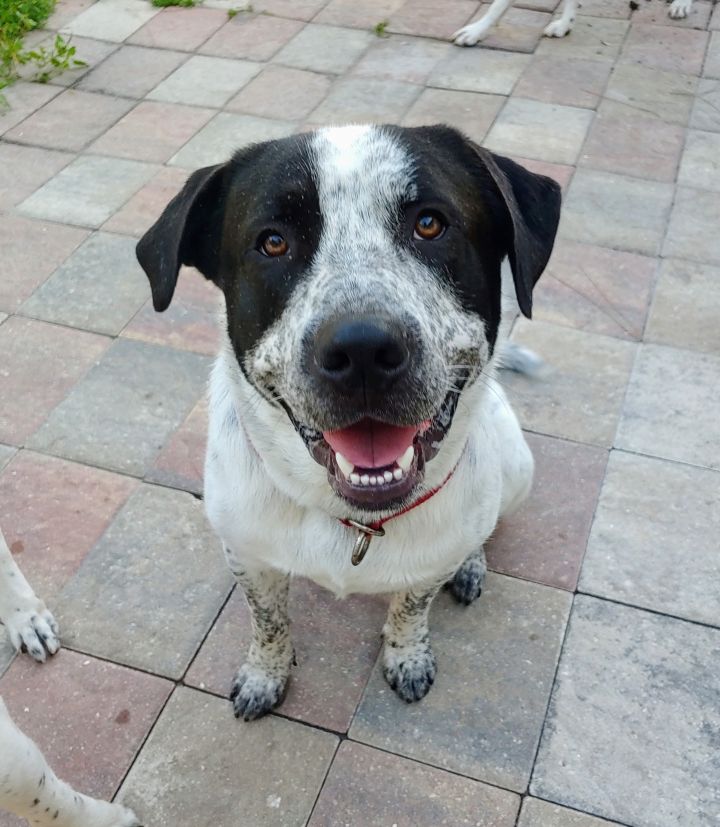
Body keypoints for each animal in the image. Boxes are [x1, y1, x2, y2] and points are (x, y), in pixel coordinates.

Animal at [136, 123, 564, 720]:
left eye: (430, 223)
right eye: (272, 242)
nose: (362, 350)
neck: (355, 521)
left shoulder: (425, 569)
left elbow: (412, 608)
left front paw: (407, 656)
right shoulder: (247, 556)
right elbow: (267, 622)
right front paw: (265, 674)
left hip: (518, 467)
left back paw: (471, 561)